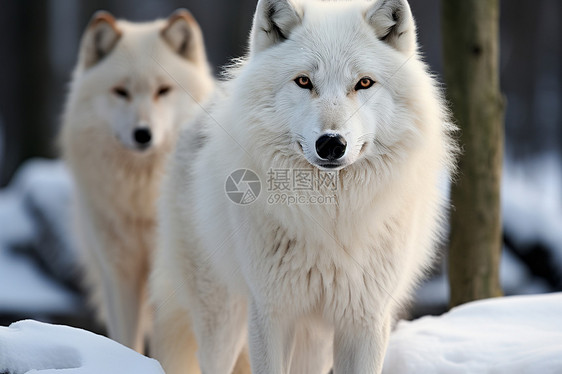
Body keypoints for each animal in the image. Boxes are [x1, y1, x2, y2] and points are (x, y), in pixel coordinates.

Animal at [58, 10, 212, 352]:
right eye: (121, 92)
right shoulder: (119, 273)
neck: (142, 200)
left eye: (163, 90)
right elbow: (127, 339)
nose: (143, 134)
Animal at [150, 0, 456, 372]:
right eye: (304, 81)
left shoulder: (365, 320)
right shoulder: (271, 314)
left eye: (364, 82)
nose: (331, 143)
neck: (330, 218)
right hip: (223, 318)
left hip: (314, 339)